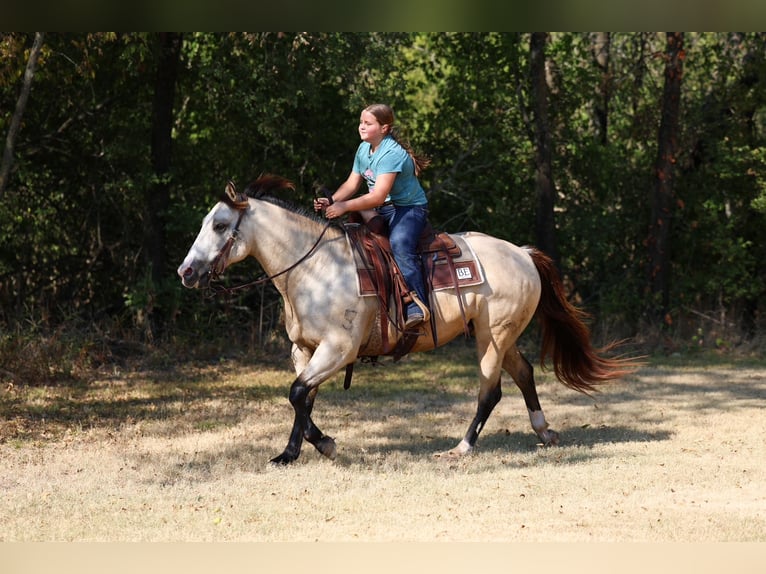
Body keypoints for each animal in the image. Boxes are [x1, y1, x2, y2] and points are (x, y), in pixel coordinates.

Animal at [177, 174, 637, 464]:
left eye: (220, 225)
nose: (186, 272)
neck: (315, 268)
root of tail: (522, 253)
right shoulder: (303, 350)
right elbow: (302, 397)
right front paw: (298, 451)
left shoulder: (338, 350)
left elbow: (296, 393)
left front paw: (318, 447)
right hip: (497, 336)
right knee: (523, 373)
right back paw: (544, 432)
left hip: (493, 336)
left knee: (490, 392)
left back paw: (461, 448)